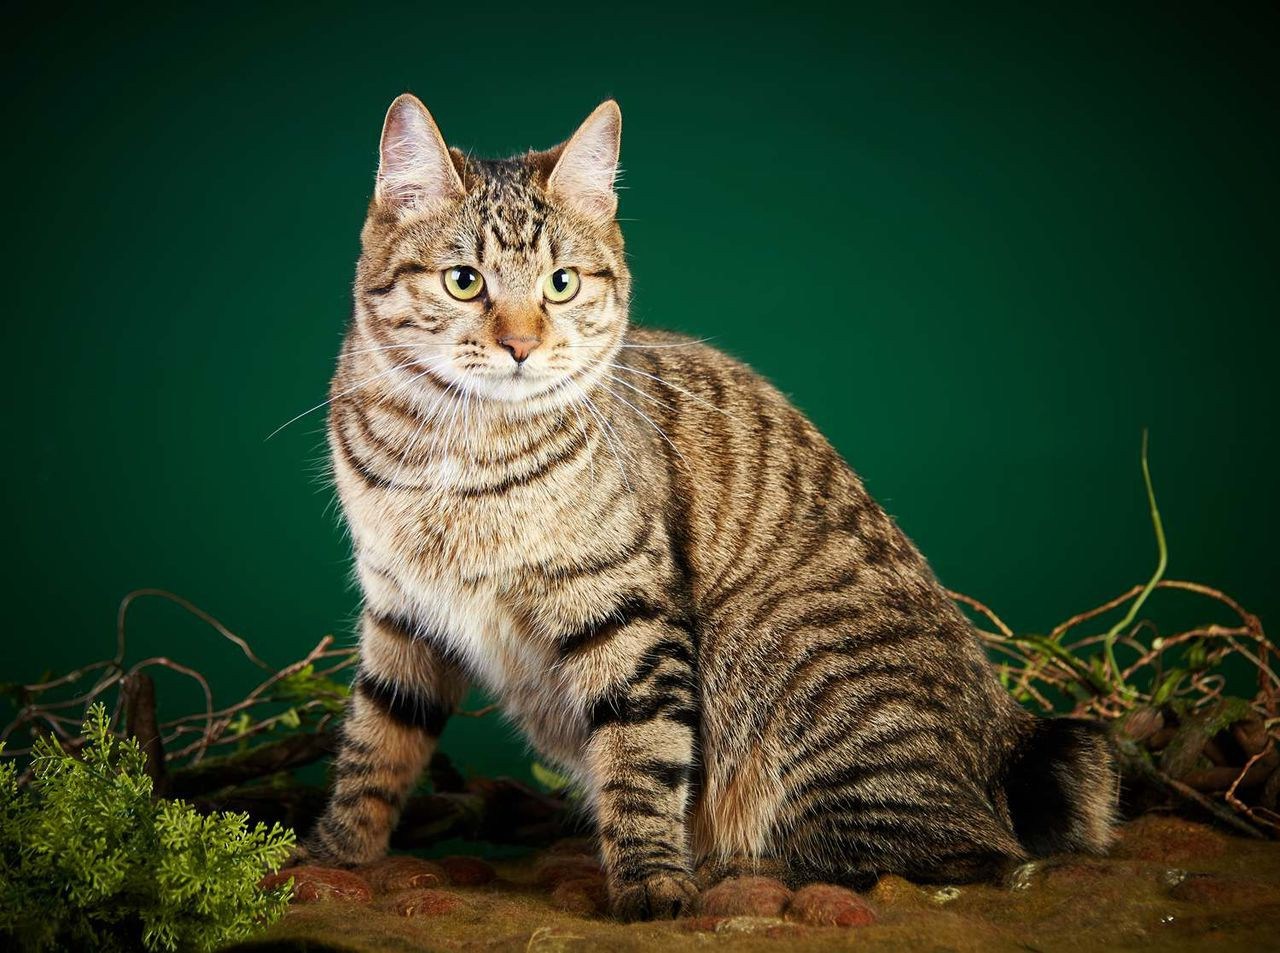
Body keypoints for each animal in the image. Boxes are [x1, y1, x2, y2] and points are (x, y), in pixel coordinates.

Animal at [302, 94, 1121, 915]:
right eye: (464, 281)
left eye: (561, 284)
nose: (521, 345)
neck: (454, 451)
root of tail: (1007, 736)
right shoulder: (400, 612)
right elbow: (374, 746)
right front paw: (334, 855)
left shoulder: (628, 615)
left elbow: (641, 759)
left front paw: (651, 880)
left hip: (793, 676)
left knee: (964, 854)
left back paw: (744, 869)